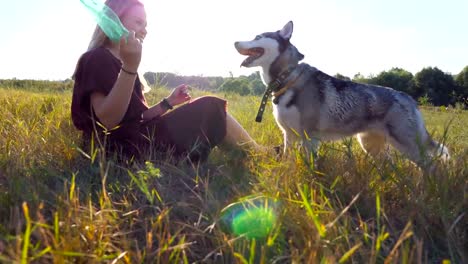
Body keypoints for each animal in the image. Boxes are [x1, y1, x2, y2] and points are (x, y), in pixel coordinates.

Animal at [236, 21, 448, 165]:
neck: (287, 78)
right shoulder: (289, 136)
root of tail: (409, 98)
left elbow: (309, 167)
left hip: (406, 144)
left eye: (257, 37)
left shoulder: (309, 138)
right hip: (372, 146)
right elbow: (288, 160)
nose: (235, 42)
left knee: (430, 165)